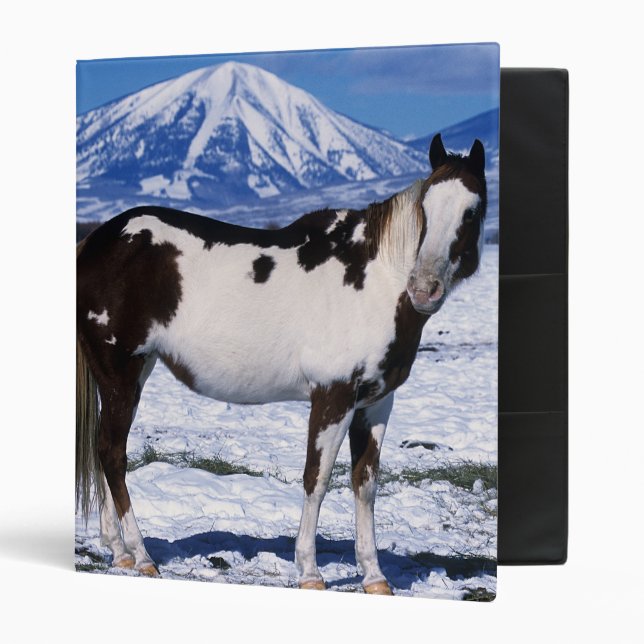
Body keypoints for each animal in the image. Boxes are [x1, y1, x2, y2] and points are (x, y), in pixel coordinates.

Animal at [76, 133, 487, 595]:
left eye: (472, 210)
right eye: (425, 209)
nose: (423, 288)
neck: (375, 281)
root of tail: (97, 241)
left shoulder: (376, 404)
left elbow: (365, 484)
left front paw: (375, 577)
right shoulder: (333, 397)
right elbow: (317, 479)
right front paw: (309, 573)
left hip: (130, 373)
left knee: (102, 452)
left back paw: (120, 553)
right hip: (120, 373)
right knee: (112, 455)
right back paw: (143, 556)